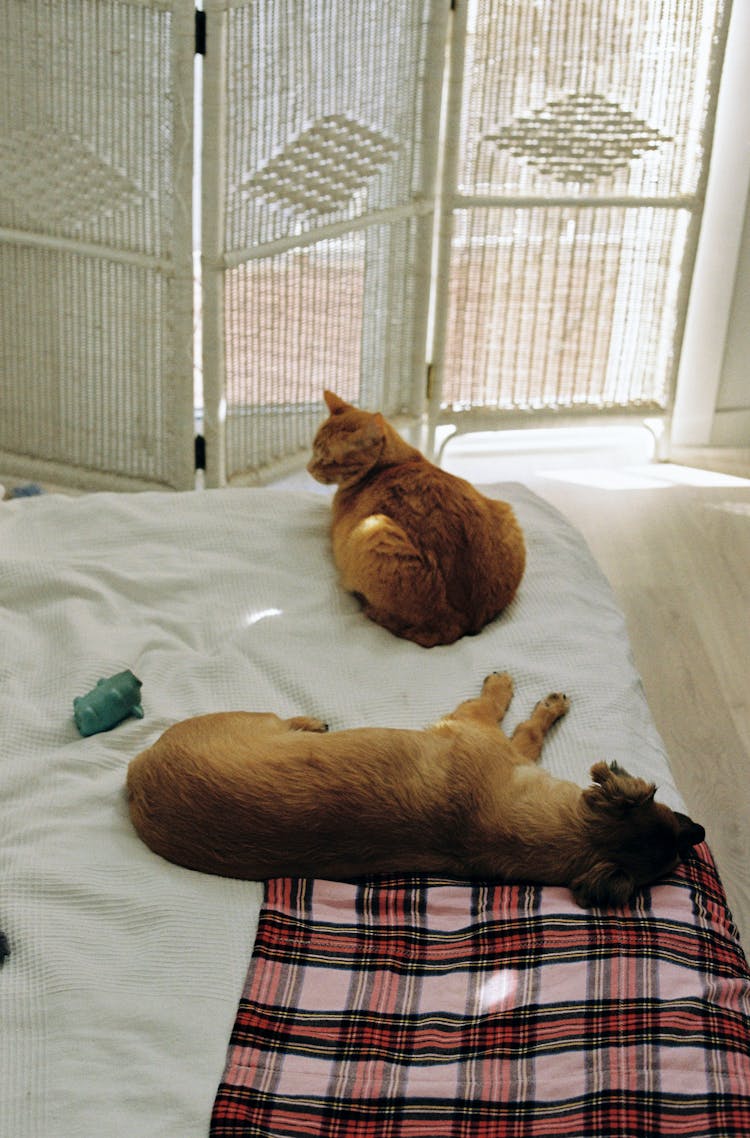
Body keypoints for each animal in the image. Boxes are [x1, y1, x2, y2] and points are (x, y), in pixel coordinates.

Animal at [126, 673, 705, 905]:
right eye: (670, 811)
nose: (699, 831)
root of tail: (136, 772)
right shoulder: (482, 729)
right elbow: (516, 718)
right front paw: (523, 694)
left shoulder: (488, 734)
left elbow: (524, 726)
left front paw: (537, 702)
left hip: (254, 718)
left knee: (283, 719)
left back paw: (310, 724)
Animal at [307, 389, 525, 646]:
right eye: (313, 448)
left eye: (329, 460)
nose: (308, 468)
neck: (391, 464)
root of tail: (465, 621)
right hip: (507, 514)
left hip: (375, 531)